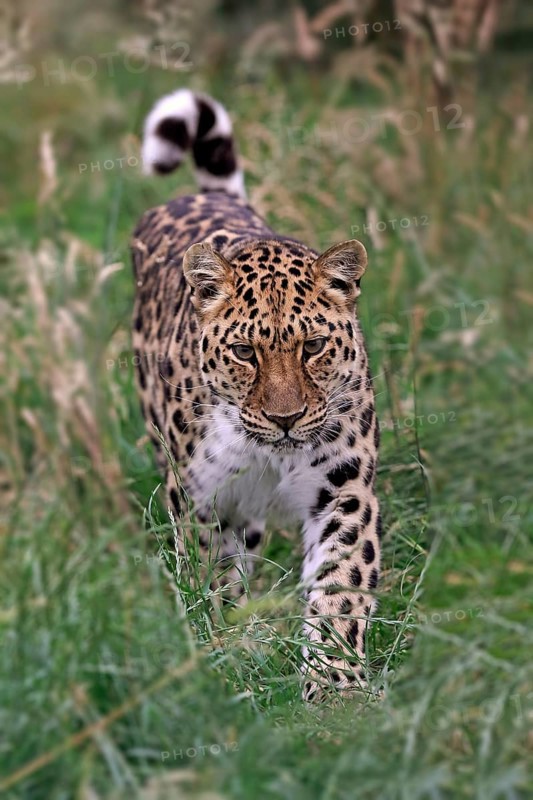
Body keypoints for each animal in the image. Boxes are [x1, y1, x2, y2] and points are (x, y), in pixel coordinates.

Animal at [131, 88, 382, 702]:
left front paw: (336, 686)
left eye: (313, 346)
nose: (286, 419)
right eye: (245, 352)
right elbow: (212, 577)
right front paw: (226, 646)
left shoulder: (344, 489)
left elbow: (341, 585)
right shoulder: (202, 497)